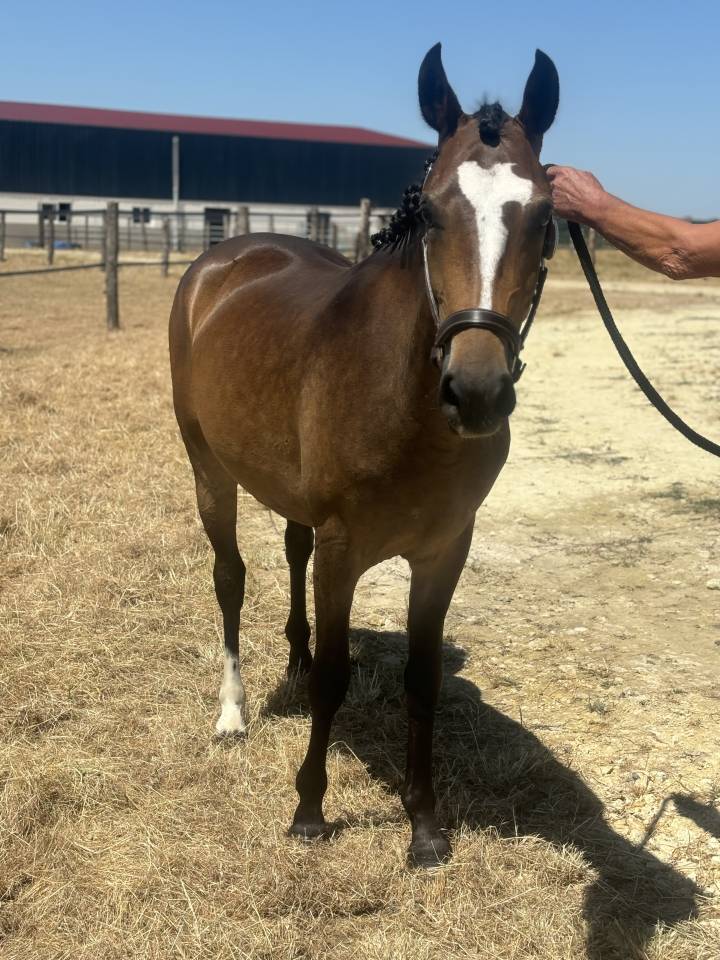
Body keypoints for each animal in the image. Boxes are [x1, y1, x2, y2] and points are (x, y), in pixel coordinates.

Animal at [169, 43, 559, 867]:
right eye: (431, 211)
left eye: (544, 217)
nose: (476, 391)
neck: (406, 405)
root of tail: (224, 258)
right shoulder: (345, 548)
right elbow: (335, 678)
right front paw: (310, 811)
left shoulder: (444, 550)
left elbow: (421, 680)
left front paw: (425, 825)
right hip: (208, 469)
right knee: (230, 577)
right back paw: (233, 711)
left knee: (291, 550)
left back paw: (290, 659)